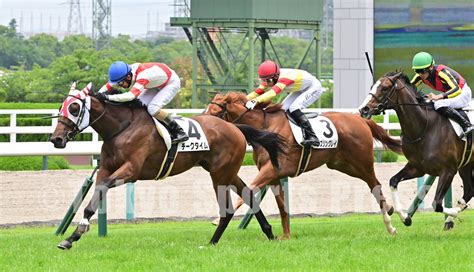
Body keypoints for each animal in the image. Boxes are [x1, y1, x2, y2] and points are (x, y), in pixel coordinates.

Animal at [50, 82, 286, 249]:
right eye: (61, 106)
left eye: (74, 107)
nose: (56, 139)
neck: (122, 128)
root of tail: (235, 127)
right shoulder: (106, 170)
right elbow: (95, 196)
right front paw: (72, 236)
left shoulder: (131, 171)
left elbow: (101, 192)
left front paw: (77, 232)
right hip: (225, 171)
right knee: (248, 194)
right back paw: (269, 233)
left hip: (220, 174)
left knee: (226, 209)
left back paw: (212, 242)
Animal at [206, 91, 402, 238]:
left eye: (214, 112)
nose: (207, 129)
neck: (266, 127)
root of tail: (361, 120)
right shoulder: (274, 175)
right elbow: (282, 206)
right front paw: (286, 236)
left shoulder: (271, 170)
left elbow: (250, 189)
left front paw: (217, 218)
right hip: (343, 165)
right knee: (372, 185)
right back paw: (391, 209)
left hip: (363, 163)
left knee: (375, 185)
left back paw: (391, 226)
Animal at [362, 70, 472, 230]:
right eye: (372, 86)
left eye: (385, 87)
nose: (364, 109)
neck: (425, 127)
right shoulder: (418, 167)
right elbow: (393, 181)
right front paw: (405, 216)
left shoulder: (448, 170)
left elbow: (437, 204)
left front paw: (454, 213)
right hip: (466, 166)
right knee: (469, 190)